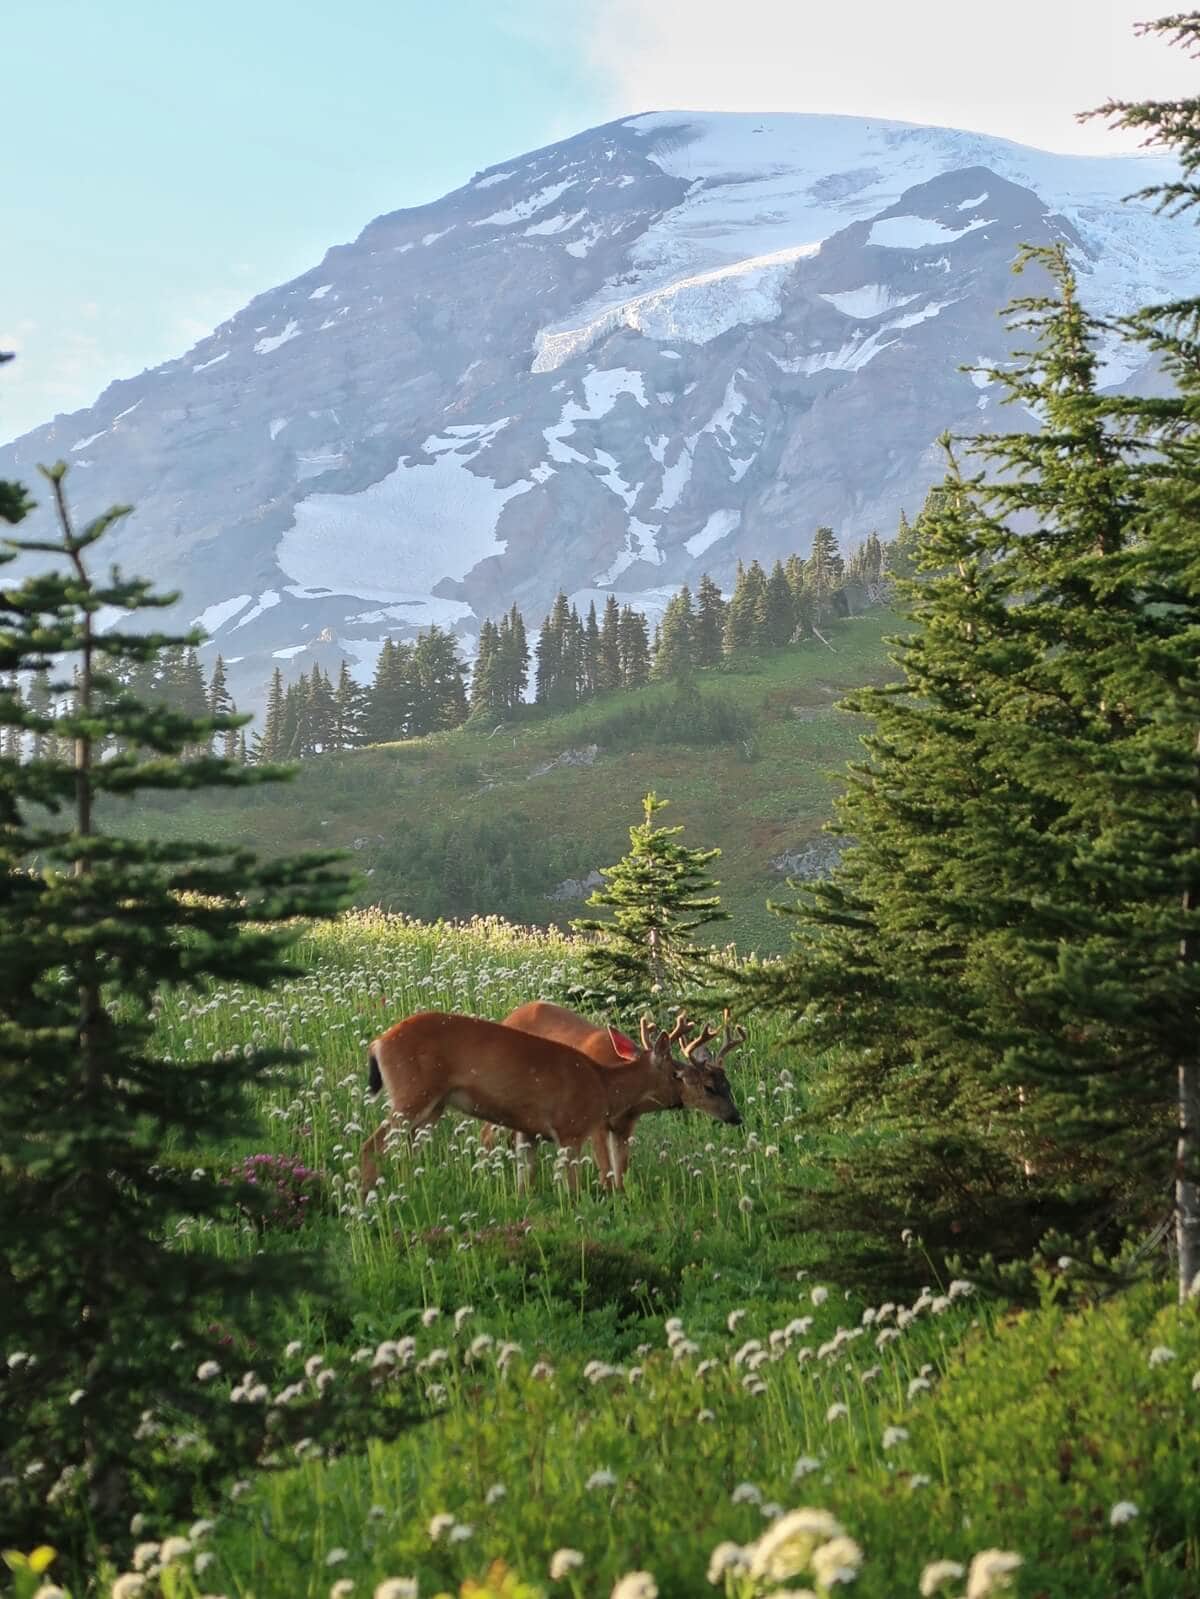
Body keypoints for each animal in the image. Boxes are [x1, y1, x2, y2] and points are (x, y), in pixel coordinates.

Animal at [360, 1009, 726, 1196]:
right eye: (679, 1074)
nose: (679, 1102)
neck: (604, 1085)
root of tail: (378, 1043)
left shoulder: (529, 1130)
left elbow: (527, 1183)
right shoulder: (572, 1126)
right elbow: (574, 1187)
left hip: (433, 1105)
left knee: (406, 1146)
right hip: (413, 1092)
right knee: (371, 1144)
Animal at [479, 1002, 747, 1186]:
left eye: (728, 1085)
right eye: (708, 1087)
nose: (736, 1117)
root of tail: (509, 1016)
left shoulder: (625, 1126)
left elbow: (621, 1170)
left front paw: (622, 1198)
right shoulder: (596, 1123)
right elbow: (606, 1170)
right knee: (486, 1131)